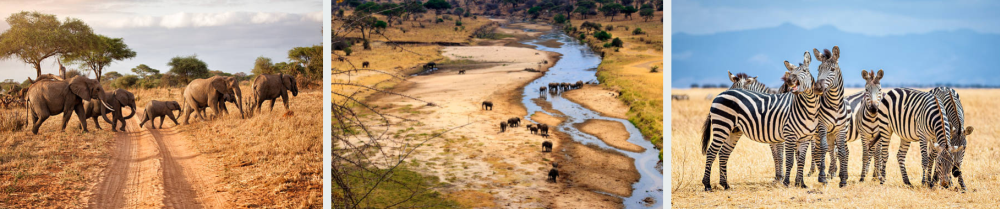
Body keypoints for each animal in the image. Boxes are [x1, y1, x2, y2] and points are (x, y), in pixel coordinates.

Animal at [700, 52, 824, 191]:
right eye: (792, 72)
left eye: (804, 71)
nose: (790, 80)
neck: (808, 107)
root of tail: (719, 95)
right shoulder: (788, 135)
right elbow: (786, 159)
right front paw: (785, 182)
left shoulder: (804, 137)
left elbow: (800, 160)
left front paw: (800, 184)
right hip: (722, 126)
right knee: (711, 152)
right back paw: (707, 184)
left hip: (733, 130)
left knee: (723, 153)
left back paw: (725, 184)